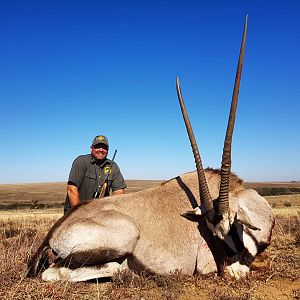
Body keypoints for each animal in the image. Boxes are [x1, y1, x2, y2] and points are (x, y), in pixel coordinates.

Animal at [27, 17, 274, 282]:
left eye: (233, 225)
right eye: (213, 232)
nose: (231, 271)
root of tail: (55, 232)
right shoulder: (206, 263)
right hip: (124, 235)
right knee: (59, 271)